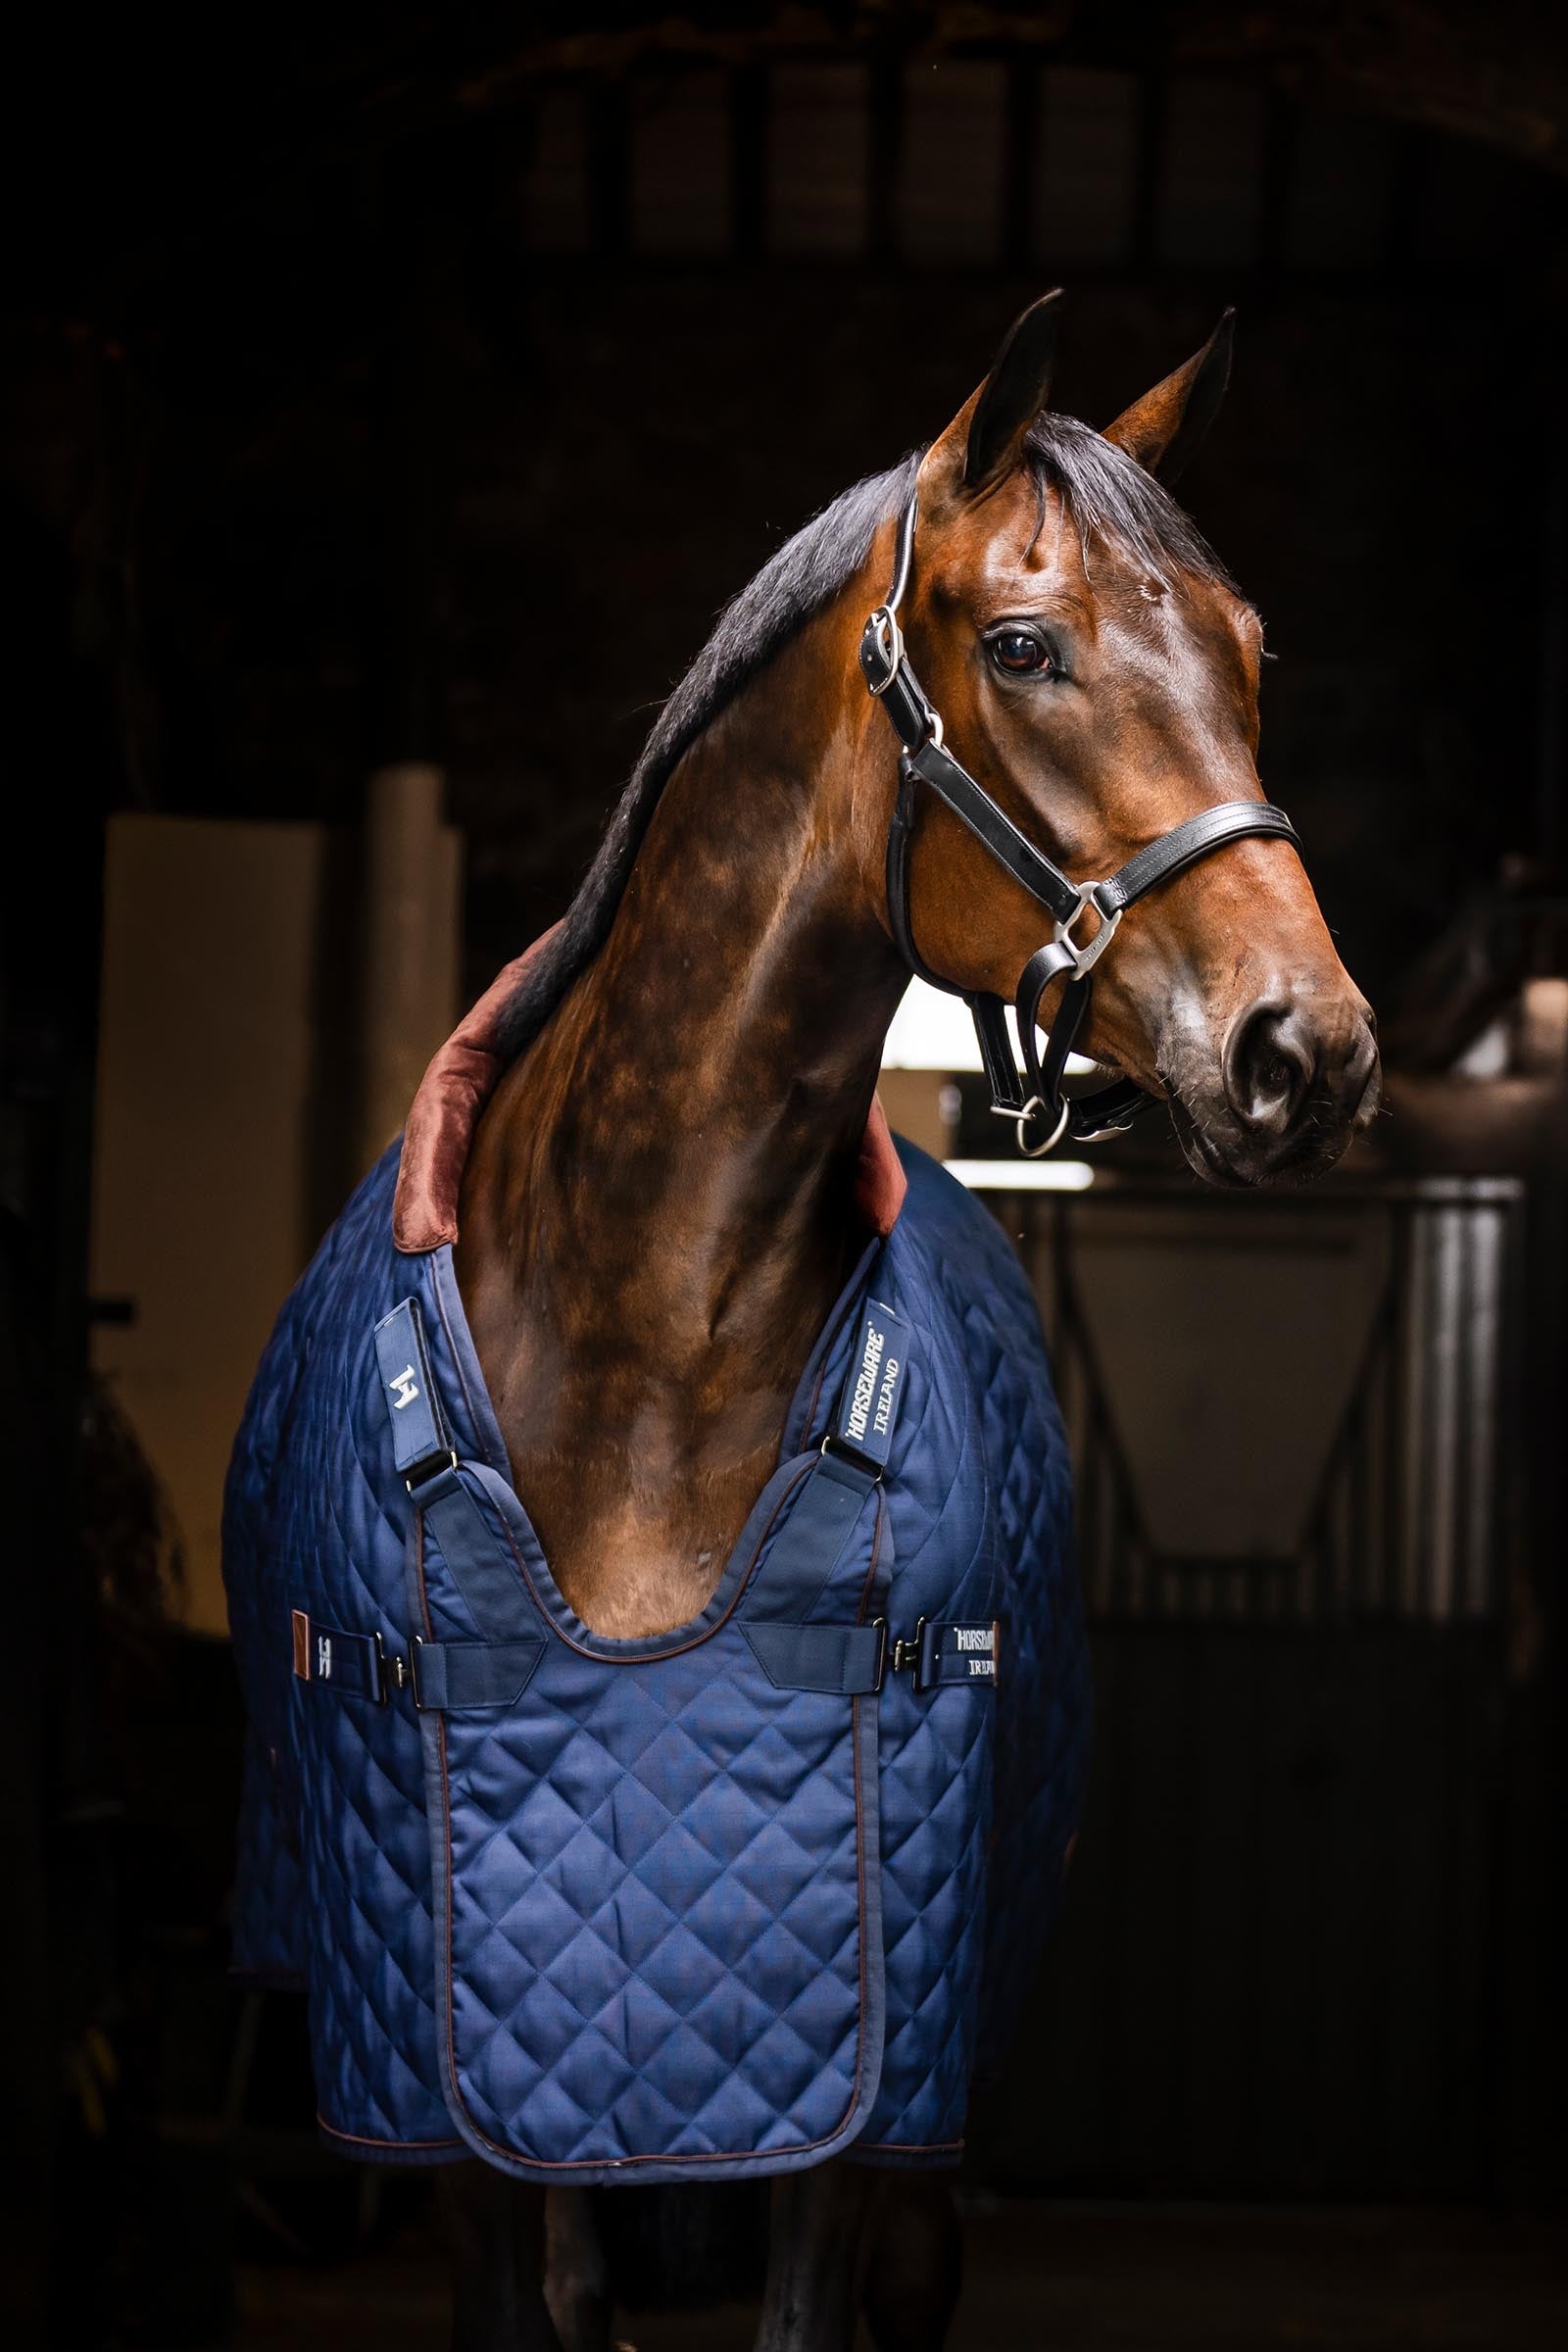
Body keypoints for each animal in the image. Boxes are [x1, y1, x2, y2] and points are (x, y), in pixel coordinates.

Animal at [223, 291, 1378, 2352]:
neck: (647, 1331)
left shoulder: (862, 2108)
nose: (1305, 1050)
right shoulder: (444, 2120)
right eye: (1023, 646)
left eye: (1252, 656)